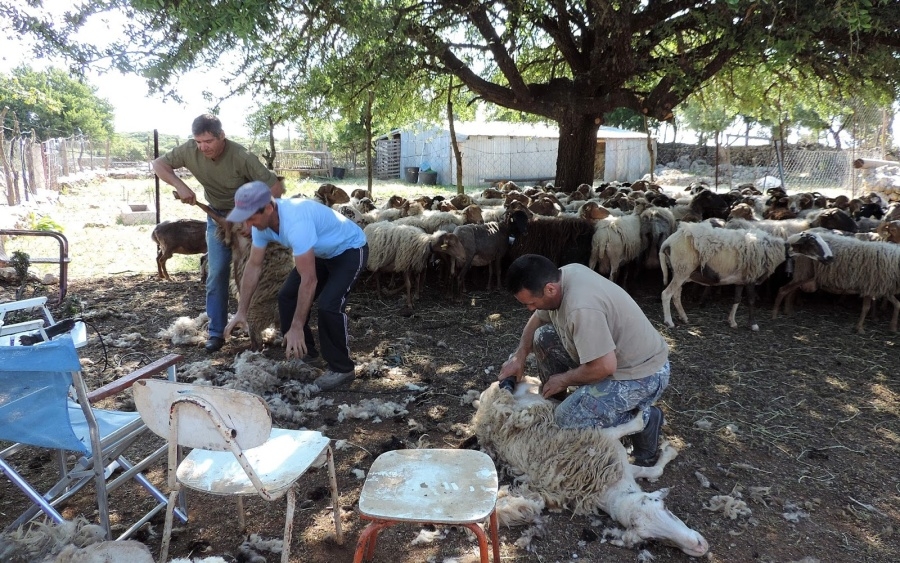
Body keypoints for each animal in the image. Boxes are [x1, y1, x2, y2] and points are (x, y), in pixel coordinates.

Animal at [472, 376, 712, 556]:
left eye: (665, 508)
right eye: (652, 539)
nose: (700, 548)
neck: (604, 486)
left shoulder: (622, 463)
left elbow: (652, 469)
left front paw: (668, 453)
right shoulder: (605, 438)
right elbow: (632, 425)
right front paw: (642, 418)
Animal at [656, 221, 832, 330]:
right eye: (812, 243)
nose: (830, 258)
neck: (775, 249)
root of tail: (668, 241)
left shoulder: (741, 279)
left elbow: (737, 299)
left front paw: (732, 322)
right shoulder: (751, 277)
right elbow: (751, 300)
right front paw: (753, 325)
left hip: (682, 272)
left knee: (676, 295)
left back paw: (683, 317)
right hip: (682, 270)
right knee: (666, 294)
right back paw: (669, 321)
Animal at [768, 231, 900, 332]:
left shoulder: (883, 287)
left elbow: (896, 304)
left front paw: (892, 327)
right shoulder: (870, 285)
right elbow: (866, 307)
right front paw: (860, 328)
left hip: (803, 275)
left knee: (791, 291)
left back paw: (788, 311)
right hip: (803, 273)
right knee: (785, 290)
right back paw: (777, 314)